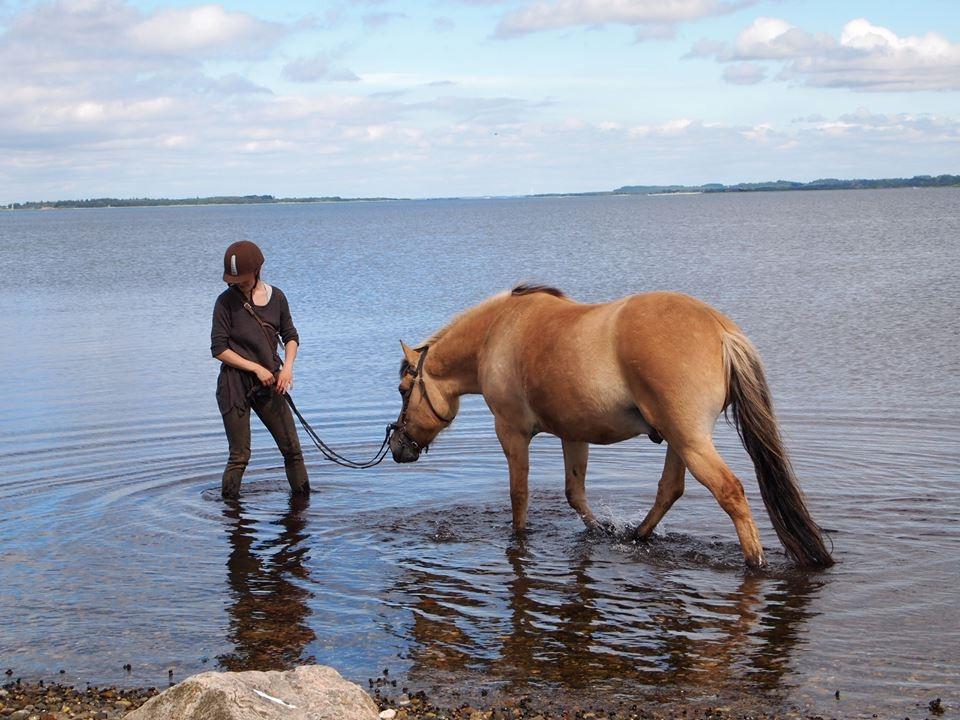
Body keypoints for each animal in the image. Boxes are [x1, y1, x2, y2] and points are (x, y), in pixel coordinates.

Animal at [388, 284, 832, 572]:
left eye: (403, 390)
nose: (397, 446)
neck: (497, 333)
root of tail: (720, 328)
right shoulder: (573, 434)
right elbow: (575, 494)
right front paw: (601, 530)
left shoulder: (510, 432)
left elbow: (519, 496)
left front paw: (519, 537)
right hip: (678, 440)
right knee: (670, 489)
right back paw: (636, 536)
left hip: (690, 440)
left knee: (730, 491)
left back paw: (754, 562)